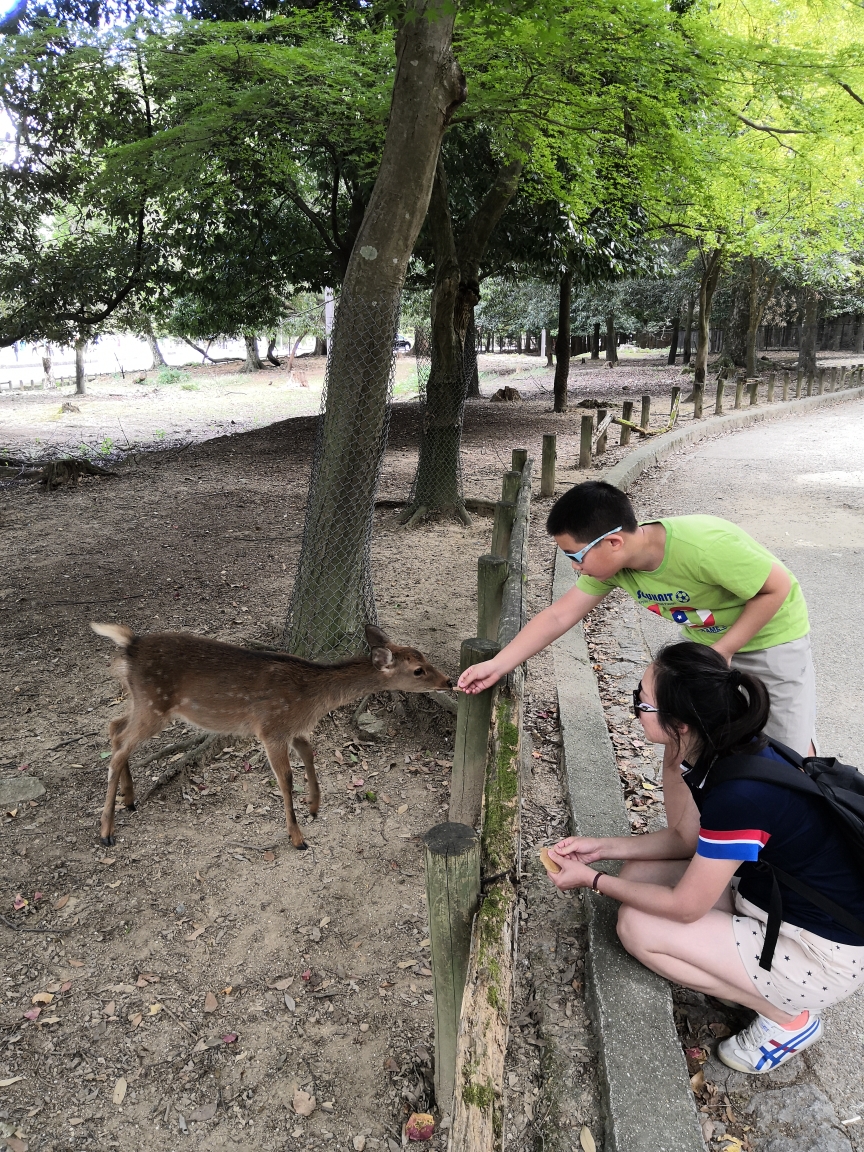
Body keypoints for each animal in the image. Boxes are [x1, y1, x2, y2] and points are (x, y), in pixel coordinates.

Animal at [88, 626, 453, 852]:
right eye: (418, 670)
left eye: (424, 657)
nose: (449, 681)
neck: (312, 700)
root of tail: (130, 645)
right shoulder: (271, 728)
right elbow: (286, 779)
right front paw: (298, 837)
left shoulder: (293, 729)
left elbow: (310, 754)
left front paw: (315, 807)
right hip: (155, 704)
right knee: (119, 747)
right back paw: (106, 831)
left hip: (142, 701)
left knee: (114, 728)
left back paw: (130, 799)